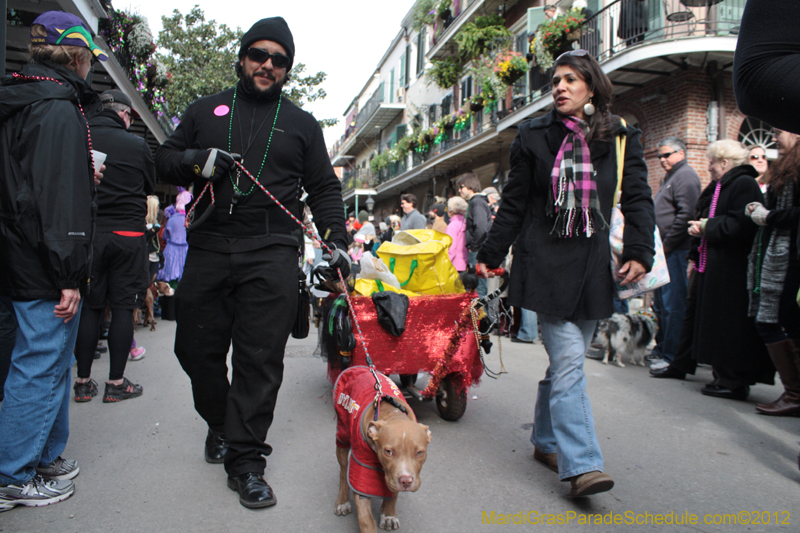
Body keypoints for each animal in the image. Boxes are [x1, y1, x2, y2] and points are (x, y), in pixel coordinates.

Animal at [332, 366, 432, 532]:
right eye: (388, 452)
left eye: (419, 452)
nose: (406, 481)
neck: (392, 414)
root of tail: (360, 367)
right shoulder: (361, 470)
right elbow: (365, 518)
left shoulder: (393, 473)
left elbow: (393, 491)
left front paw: (389, 514)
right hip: (343, 433)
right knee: (343, 469)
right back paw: (342, 501)